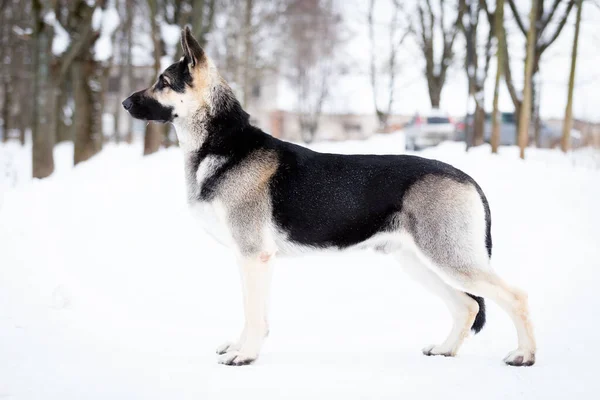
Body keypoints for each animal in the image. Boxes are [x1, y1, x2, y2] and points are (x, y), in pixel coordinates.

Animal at [123, 26, 540, 368]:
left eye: (163, 81)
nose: (125, 103)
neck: (222, 143)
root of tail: (468, 178)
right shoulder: (249, 260)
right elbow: (251, 312)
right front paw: (241, 348)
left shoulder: (253, 257)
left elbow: (254, 314)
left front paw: (245, 355)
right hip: (419, 263)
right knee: (467, 304)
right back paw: (446, 349)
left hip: (448, 259)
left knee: (516, 296)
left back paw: (523, 355)